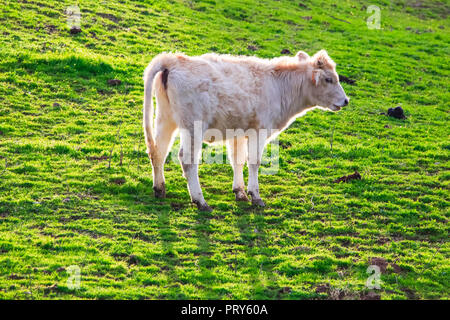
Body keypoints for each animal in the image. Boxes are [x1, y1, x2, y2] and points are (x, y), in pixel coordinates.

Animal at [142, 50, 350, 211]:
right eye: (329, 79)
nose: (346, 100)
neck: (278, 86)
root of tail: (173, 59)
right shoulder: (260, 131)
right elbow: (253, 162)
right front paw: (255, 195)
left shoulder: (239, 133)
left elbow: (237, 160)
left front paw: (240, 192)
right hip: (193, 127)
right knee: (187, 159)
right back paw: (200, 201)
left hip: (165, 119)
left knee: (158, 151)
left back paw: (159, 189)